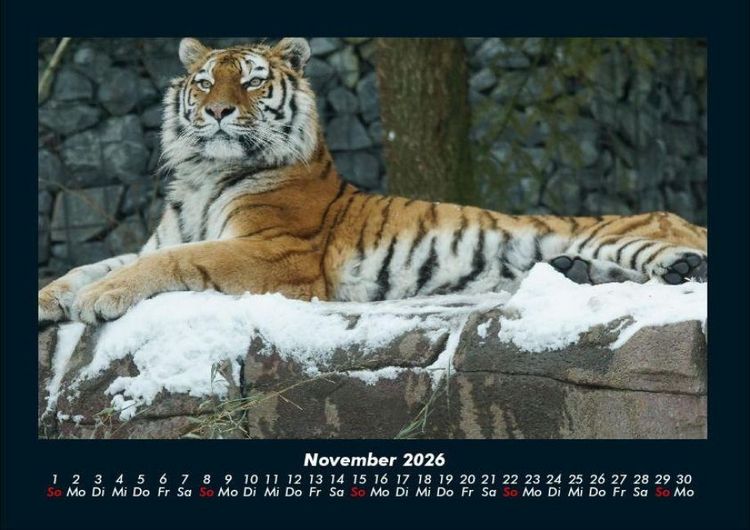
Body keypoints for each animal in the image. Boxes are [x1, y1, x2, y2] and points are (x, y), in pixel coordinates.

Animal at [38, 37, 708, 325]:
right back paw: (577, 273)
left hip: (627, 234)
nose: (219, 111)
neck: (205, 174)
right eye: (205, 82)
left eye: (251, 81)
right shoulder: (163, 236)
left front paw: (99, 300)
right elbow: (90, 264)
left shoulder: (275, 252)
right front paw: (54, 297)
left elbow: (171, 263)